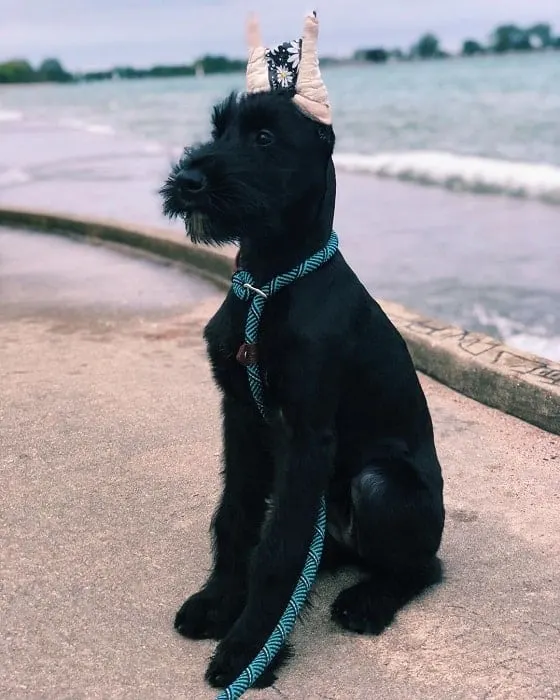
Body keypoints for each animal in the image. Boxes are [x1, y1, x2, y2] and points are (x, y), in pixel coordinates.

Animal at [160, 87, 444, 688]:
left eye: (265, 137)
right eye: (219, 131)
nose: (189, 179)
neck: (269, 283)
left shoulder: (306, 435)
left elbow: (279, 549)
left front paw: (249, 648)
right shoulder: (241, 417)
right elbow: (237, 516)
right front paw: (218, 600)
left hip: (379, 485)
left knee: (423, 567)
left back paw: (367, 601)